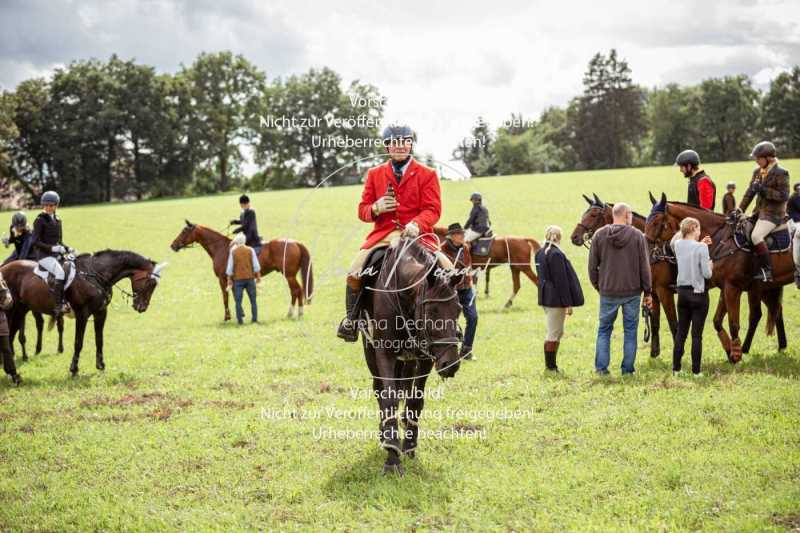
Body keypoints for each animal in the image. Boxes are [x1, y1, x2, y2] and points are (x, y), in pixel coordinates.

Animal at [0, 249, 166, 374]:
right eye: (151, 283)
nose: (142, 307)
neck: (95, 276)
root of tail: (4, 269)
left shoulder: (101, 313)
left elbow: (99, 340)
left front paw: (100, 366)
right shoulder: (82, 315)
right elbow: (78, 342)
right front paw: (74, 369)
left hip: (21, 310)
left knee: (11, 335)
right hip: (11, 311)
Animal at [170, 221, 314, 320]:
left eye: (184, 231)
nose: (173, 245)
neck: (220, 247)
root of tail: (295, 242)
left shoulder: (222, 279)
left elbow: (225, 297)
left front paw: (227, 317)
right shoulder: (233, 279)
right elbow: (235, 296)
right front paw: (242, 313)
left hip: (289, 276)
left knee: (296, 291)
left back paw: (295, 313)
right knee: (296, 291)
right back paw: (295, 313)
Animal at [358, 237, 462, 474]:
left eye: (459, 309)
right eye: (432, 311)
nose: (450, 364)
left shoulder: (424, 357)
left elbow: (415, 400)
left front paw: (409, 447)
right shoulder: (384, 352)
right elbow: (388, 397)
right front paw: (392, 457)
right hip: (371, 351)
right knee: (380, 390)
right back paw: (385, 435)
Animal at [640, 192, 792, 362]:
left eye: (656, 223)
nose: (647, 252)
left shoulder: (665, 291)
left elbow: (675, 324)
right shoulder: (655, 293)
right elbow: (656, 323)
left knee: (760, 314)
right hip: (762, 288)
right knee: (773, 311)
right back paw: (777, 345)